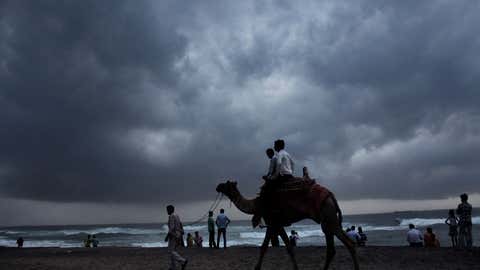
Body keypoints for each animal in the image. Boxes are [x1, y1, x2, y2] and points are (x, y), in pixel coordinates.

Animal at [216, 179, 358, 270]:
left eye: (226, 184)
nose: (218, 186)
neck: (256, 204)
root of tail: (331, 197)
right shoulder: (278, 224)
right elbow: (289, 247)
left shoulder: (272, 222)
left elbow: (264, 247)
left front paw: (256, 268)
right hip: (327, 220)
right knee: (332, 249)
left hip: (329, 216)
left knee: (349, 244)